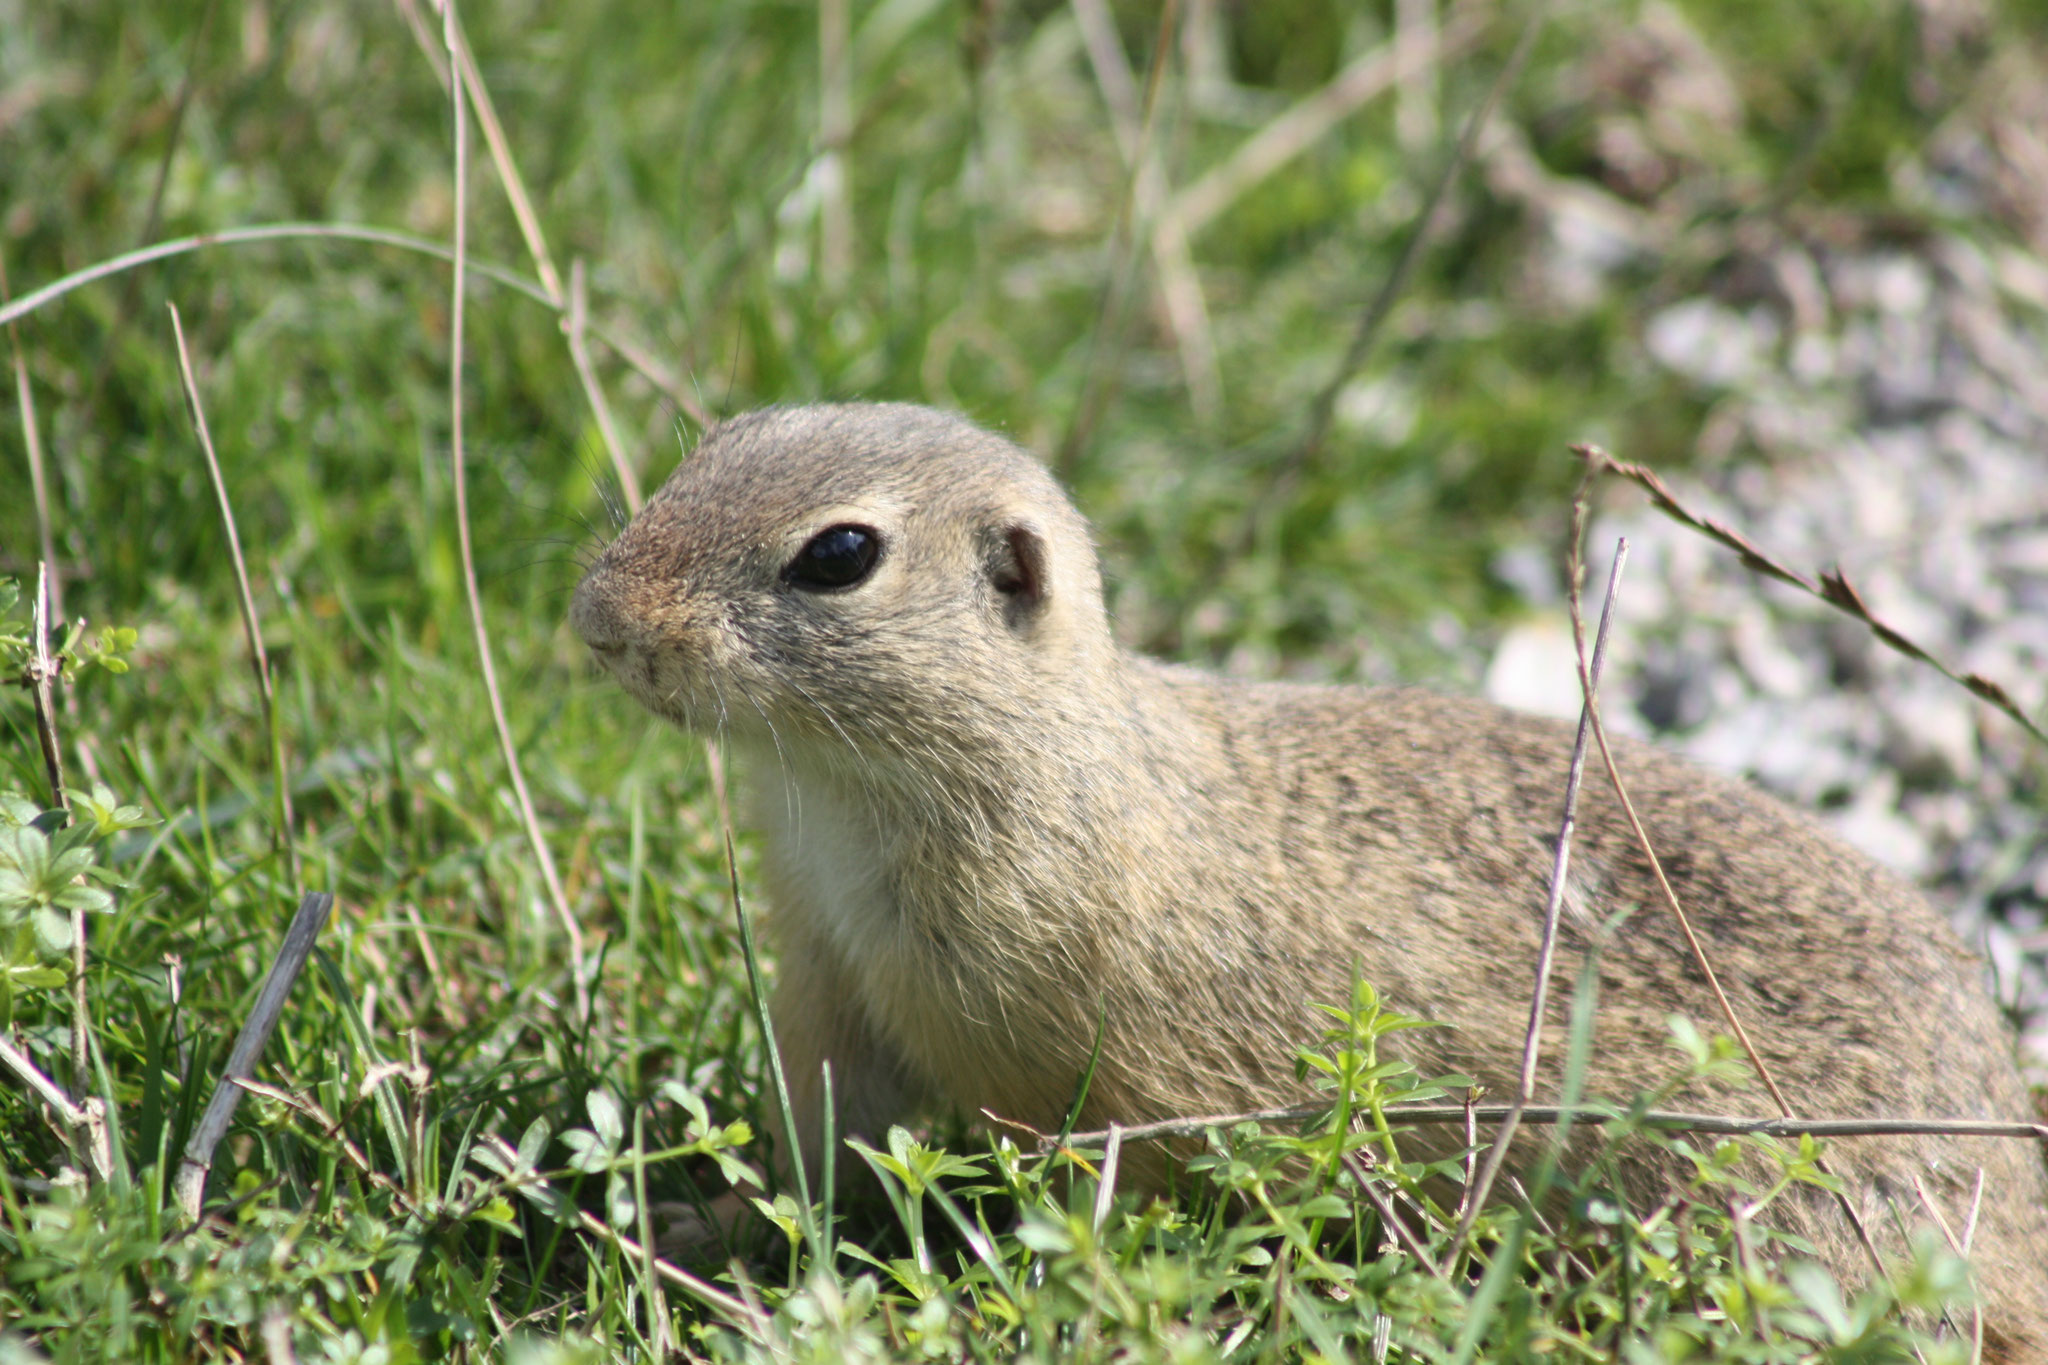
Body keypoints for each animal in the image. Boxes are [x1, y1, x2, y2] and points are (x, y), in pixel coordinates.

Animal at [569, 397, 2048, 1358]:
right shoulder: (829, 994)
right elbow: (823, 1155)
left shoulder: (1121, 1077)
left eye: (840, 554)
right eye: (717, 440)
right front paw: (693, 1221)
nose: (596, 622)